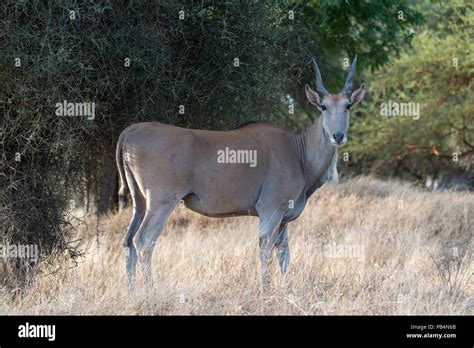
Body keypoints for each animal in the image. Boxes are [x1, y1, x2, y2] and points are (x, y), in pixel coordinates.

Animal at [115, 57, 366, 290]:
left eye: (348, 106)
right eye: (323, 107)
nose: (338, 136)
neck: (299, 152)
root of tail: (131, 131)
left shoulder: (284, 219)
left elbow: (284, 255)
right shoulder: (270, 211)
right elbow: (266, 249)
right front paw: (265, 289)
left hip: (140, 202)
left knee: (128, 241)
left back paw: (132, 292)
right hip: (161, 202)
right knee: (143, 241)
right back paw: (151, 291)